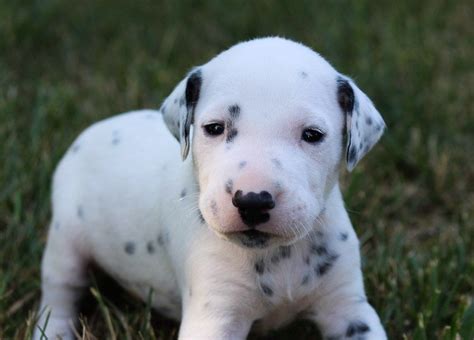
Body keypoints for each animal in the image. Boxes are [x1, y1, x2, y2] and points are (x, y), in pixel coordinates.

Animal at [35, 37, 386, 340]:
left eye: (312, 135)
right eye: (215, 128)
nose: (253, 201)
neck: (276, 255)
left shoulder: (348, 308)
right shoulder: (215, 314)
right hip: (66, 242)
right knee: (59, 293)